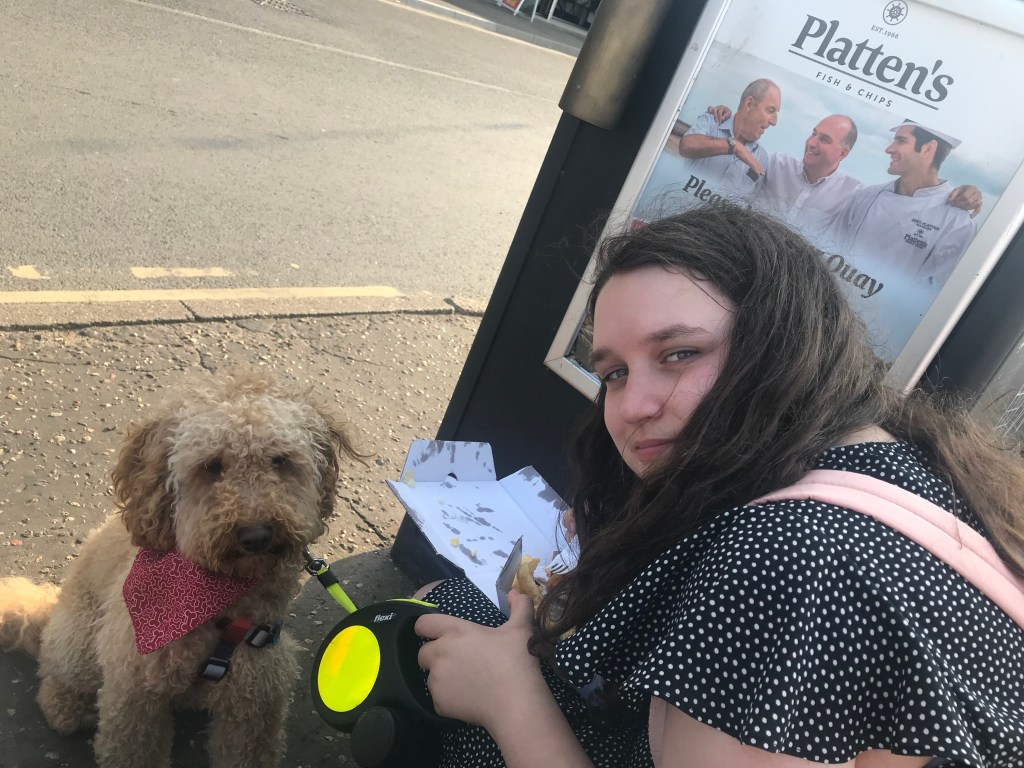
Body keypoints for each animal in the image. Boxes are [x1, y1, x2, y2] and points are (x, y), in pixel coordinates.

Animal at [0, 370, 360, 768]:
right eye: (211, 466)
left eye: (280, 461)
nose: (256, 535)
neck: (220, 602)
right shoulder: (134, 691)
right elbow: (133, 749)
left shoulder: (254, 698)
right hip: (80, 646)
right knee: (55, 671)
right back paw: (64, 707)